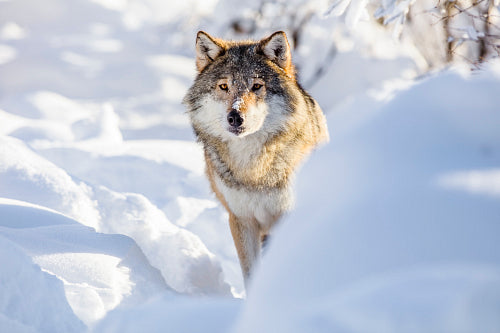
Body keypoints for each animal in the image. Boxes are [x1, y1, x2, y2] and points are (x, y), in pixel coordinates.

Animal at [183, 31, 328, 286]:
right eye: (224, 86)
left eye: (257, 86)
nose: (235, 117)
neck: (253, 170)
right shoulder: (241, 220)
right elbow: (251, 273)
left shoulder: (286, 216)